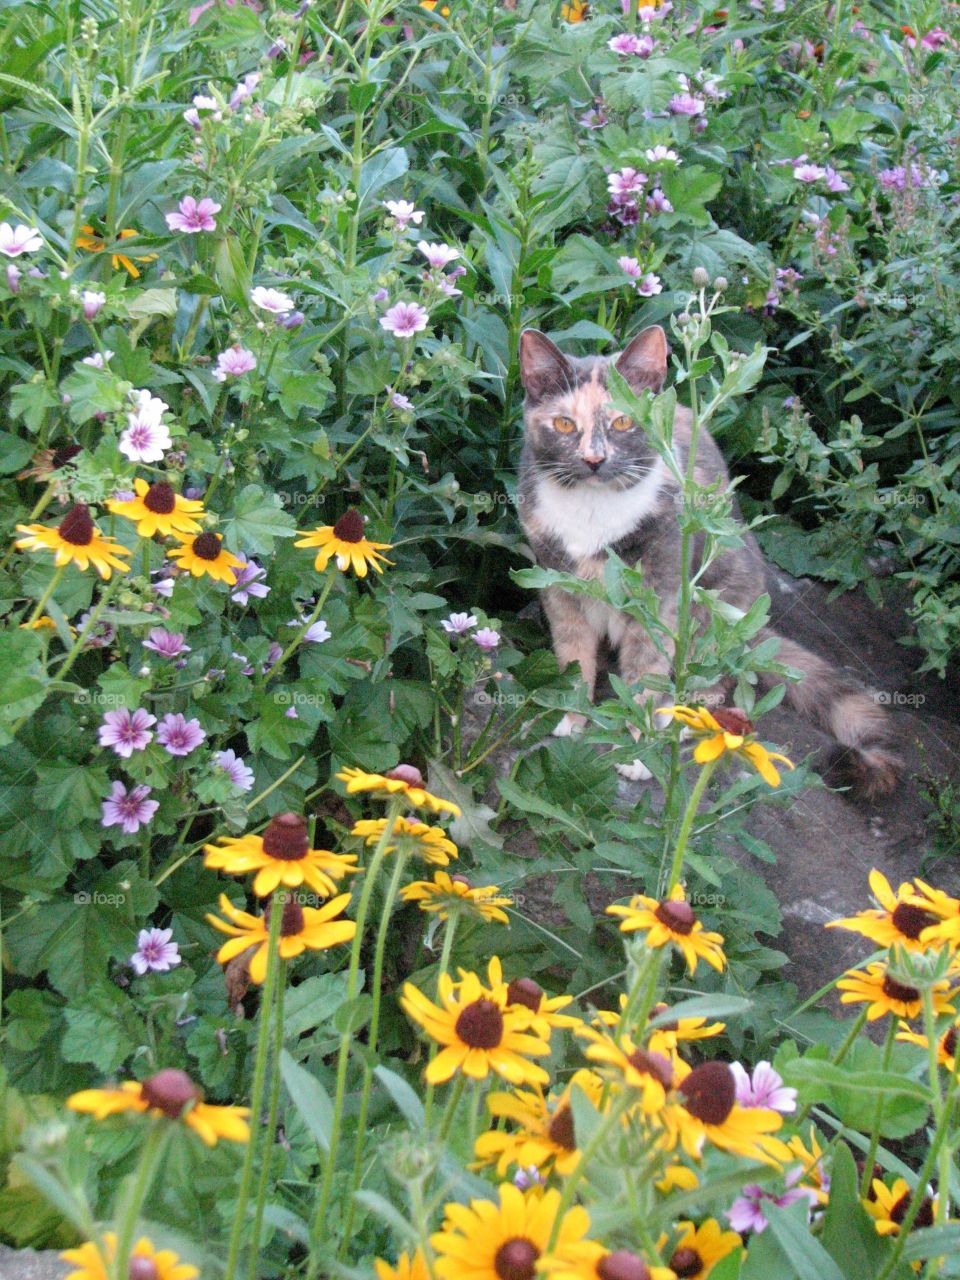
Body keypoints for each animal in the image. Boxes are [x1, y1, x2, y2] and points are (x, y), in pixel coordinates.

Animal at [519, 325, 901, 793]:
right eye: (564, 423)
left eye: (624, 421)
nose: (594, 460)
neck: (592, 512)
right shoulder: (556, 583)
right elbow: (573, 656)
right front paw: (570, 717)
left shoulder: (659, 594)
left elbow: (645, 676)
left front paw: (641, 749)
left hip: (716, 605)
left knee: (716, 682)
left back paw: (686, 724)